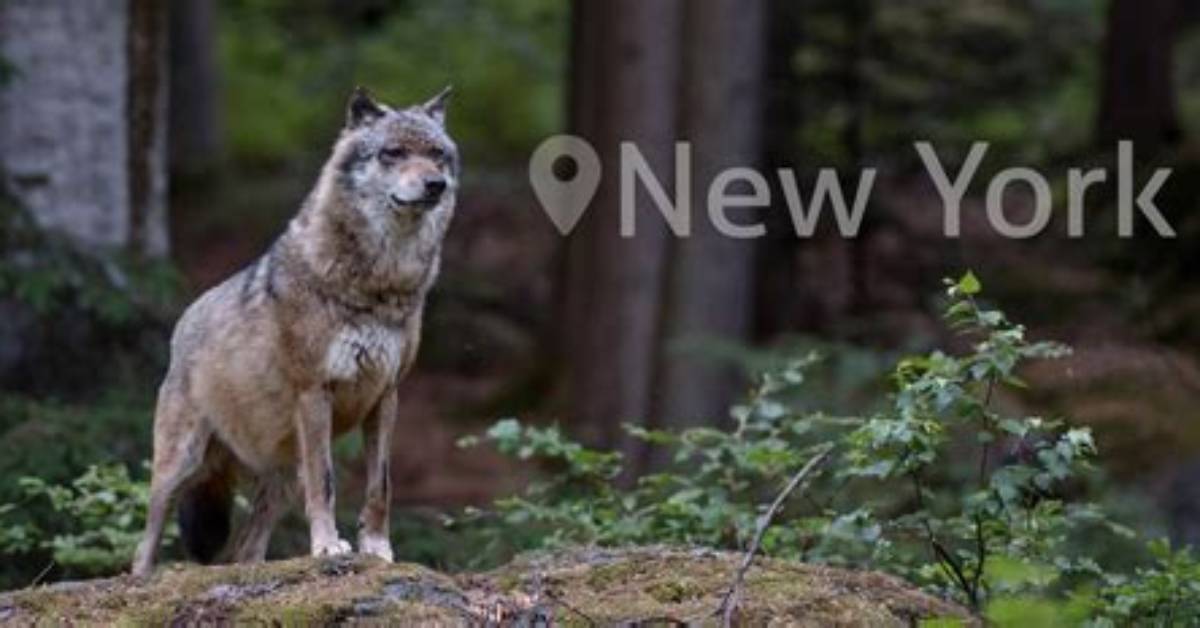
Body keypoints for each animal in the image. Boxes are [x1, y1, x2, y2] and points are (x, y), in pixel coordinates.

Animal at [131, 87, 458, 577]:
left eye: (437, 155)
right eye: (394, 153)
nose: (435, 184)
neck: (381, 285)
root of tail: (184, 321)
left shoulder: (387, 396)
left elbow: (381, 485)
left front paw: (377, 548)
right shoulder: (315, 391)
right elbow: (325, 483)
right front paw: (327, 547)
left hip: (280, 478)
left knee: (244, 549)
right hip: (180, 465)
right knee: (144, 544)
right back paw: (142, 578)